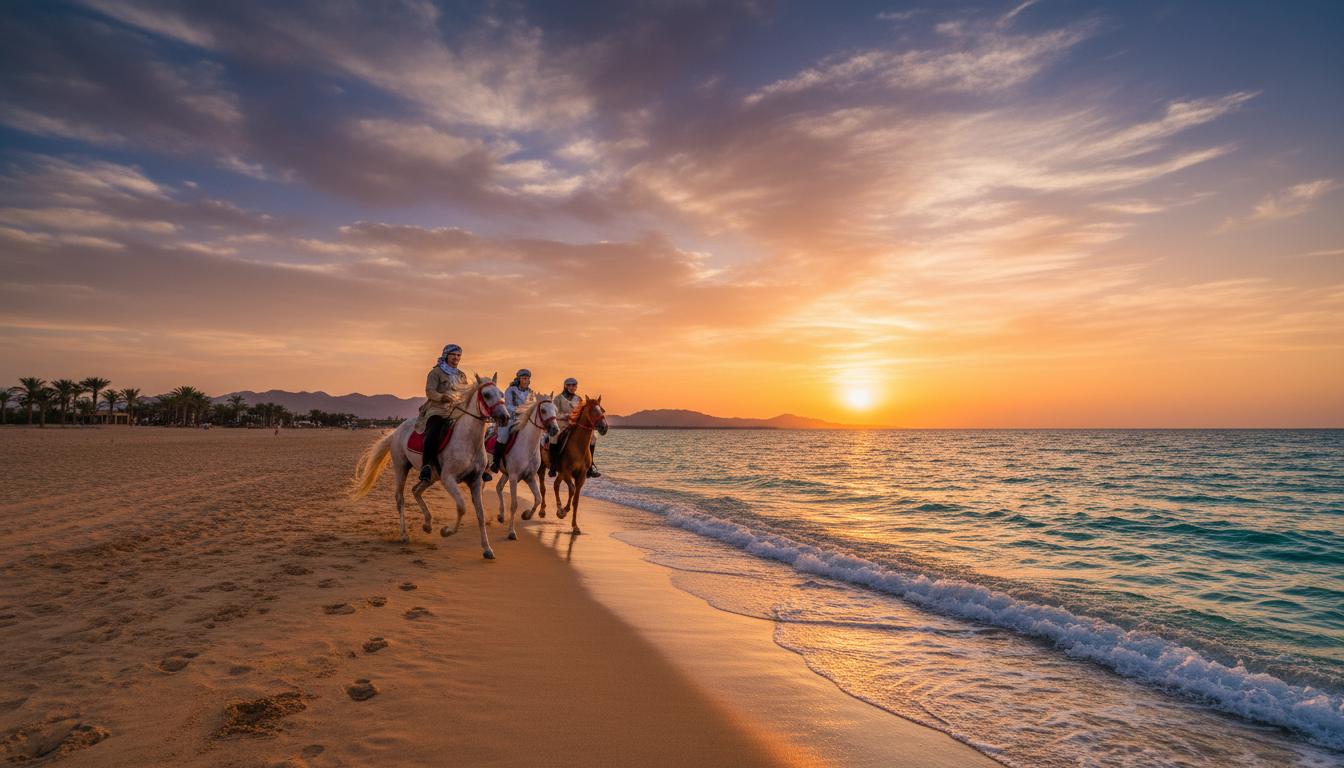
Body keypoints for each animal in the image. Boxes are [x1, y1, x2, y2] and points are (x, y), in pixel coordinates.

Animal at [351, 373, 510, 559]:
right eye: (486, 395)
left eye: (501, 394)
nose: (505, 417)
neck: (468, 441)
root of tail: (396, 431)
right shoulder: (449, 479)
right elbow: (462, 507)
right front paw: (446, 531)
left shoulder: (476, 481)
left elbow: (480, 514)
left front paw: (487, 549)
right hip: (401, 467)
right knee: (400, 497)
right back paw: (404, 534)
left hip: (431, 476)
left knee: (416, 490)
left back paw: (427, 524)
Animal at [493, 393, 560, 540]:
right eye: (543, 410)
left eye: (556, 410)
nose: (555, 429)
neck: (527, 446)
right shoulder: (513, 478)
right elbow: (514, 504)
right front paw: (511, 532)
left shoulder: (529, 477)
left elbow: (538, 498)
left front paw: (526, 515)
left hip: (505, 474)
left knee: (498, 487)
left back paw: (500, 515)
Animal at [538, 396, 608, 535]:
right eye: (593, 411)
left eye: (602, 410)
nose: (604, 427)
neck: (578, 447)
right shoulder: (566, 472)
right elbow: (571, 489)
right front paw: (563, 511)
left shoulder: (581, 477)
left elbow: (576, 499)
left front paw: (575, 525)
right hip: (543, 467)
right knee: (544, 487)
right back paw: (543, 510)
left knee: (556, 485)